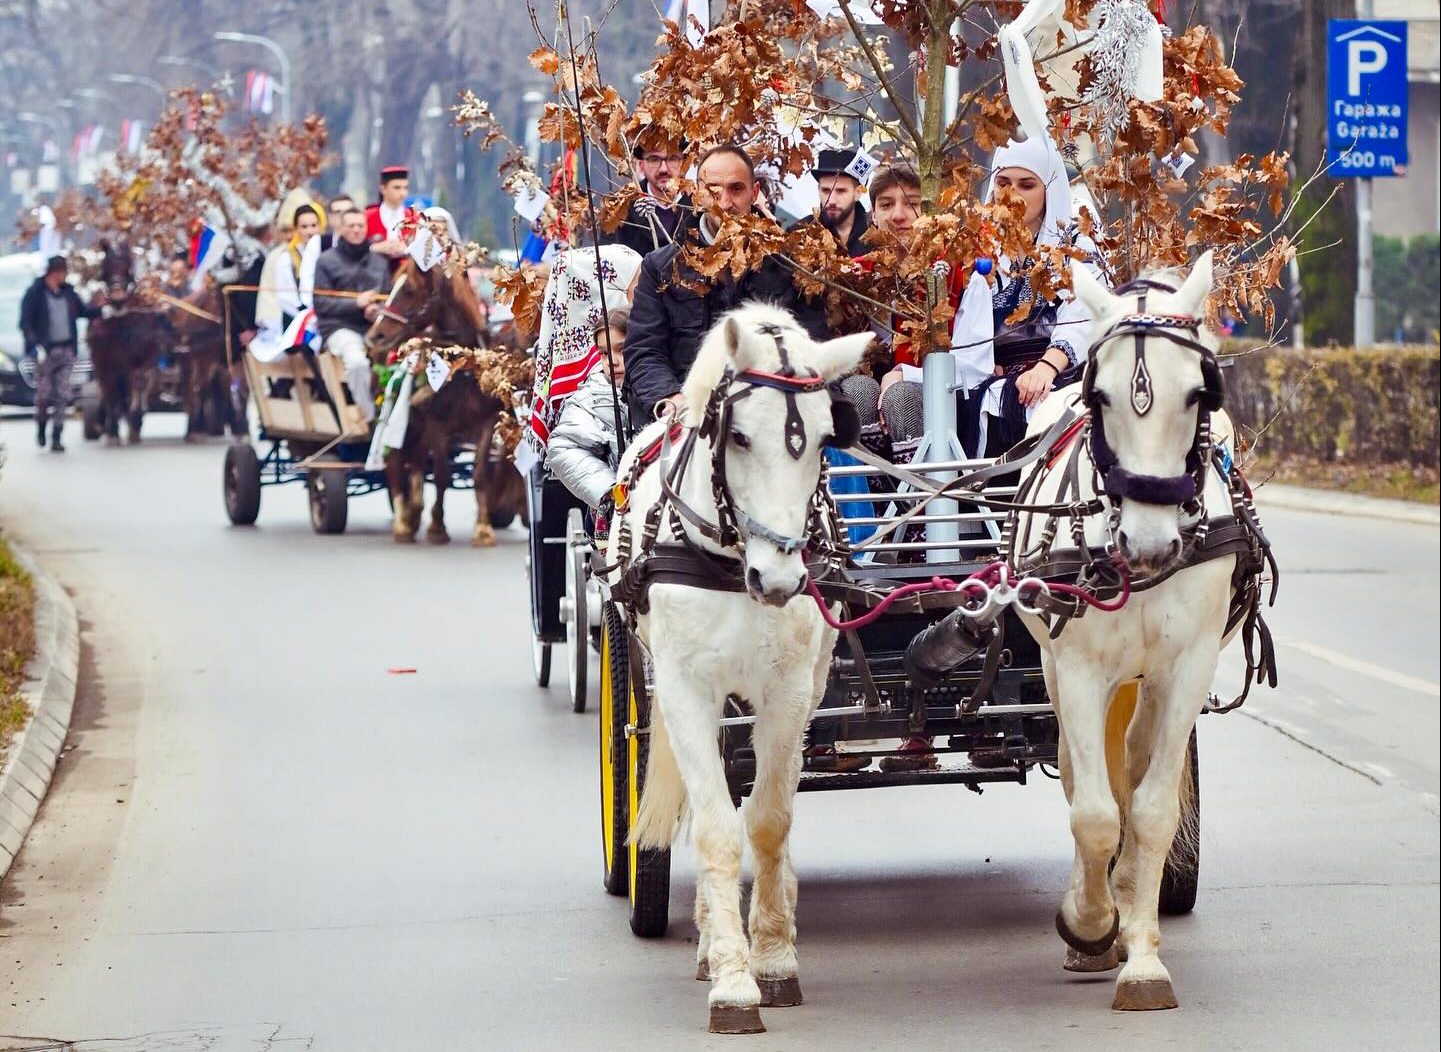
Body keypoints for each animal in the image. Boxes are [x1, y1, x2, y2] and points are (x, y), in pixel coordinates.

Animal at [363, 256, 527, 544]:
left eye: (409, 290)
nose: (375, 336)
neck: (464, 365)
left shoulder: (486, 422)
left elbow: (480, 474)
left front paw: (482, 529)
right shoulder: (437, 425)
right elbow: (441, 474)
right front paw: (437, 527)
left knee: (416, 461)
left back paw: (414, 512)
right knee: (395, 462)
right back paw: (402, 523)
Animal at [616, 302, 870, 1031]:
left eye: (824, 440)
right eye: (737, 437)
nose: (779, 578)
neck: (729, 563)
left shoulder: (786, 692)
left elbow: (768, 819)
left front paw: (774, 958)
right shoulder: (684, 693)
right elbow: (718, 830)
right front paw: (732, 980)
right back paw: (709, 938)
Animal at [1020, 252, 1245, 1008]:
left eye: (1197, 394)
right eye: (1102, 398)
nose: (1149, 545)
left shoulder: (1188, 667)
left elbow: (1148, 811)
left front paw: (1141, 957)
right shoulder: (1078, 669)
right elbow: (1092, 813)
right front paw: (1088, 924)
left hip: (1147, 679)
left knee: (1139, 761)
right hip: (1056, 670)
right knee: (1081, 778)